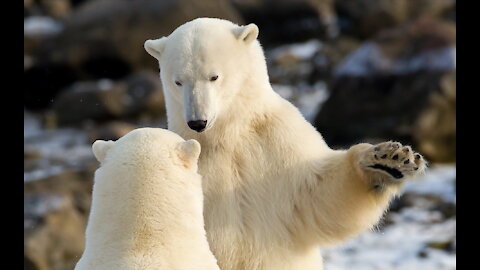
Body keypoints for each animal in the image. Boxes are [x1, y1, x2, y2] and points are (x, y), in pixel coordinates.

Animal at [143, 17, 428, 268]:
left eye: (214, 76)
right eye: (178, 81)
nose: (197, 122)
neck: (226, 133)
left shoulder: (278, 140)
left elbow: (320, 195)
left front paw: (388, 162)